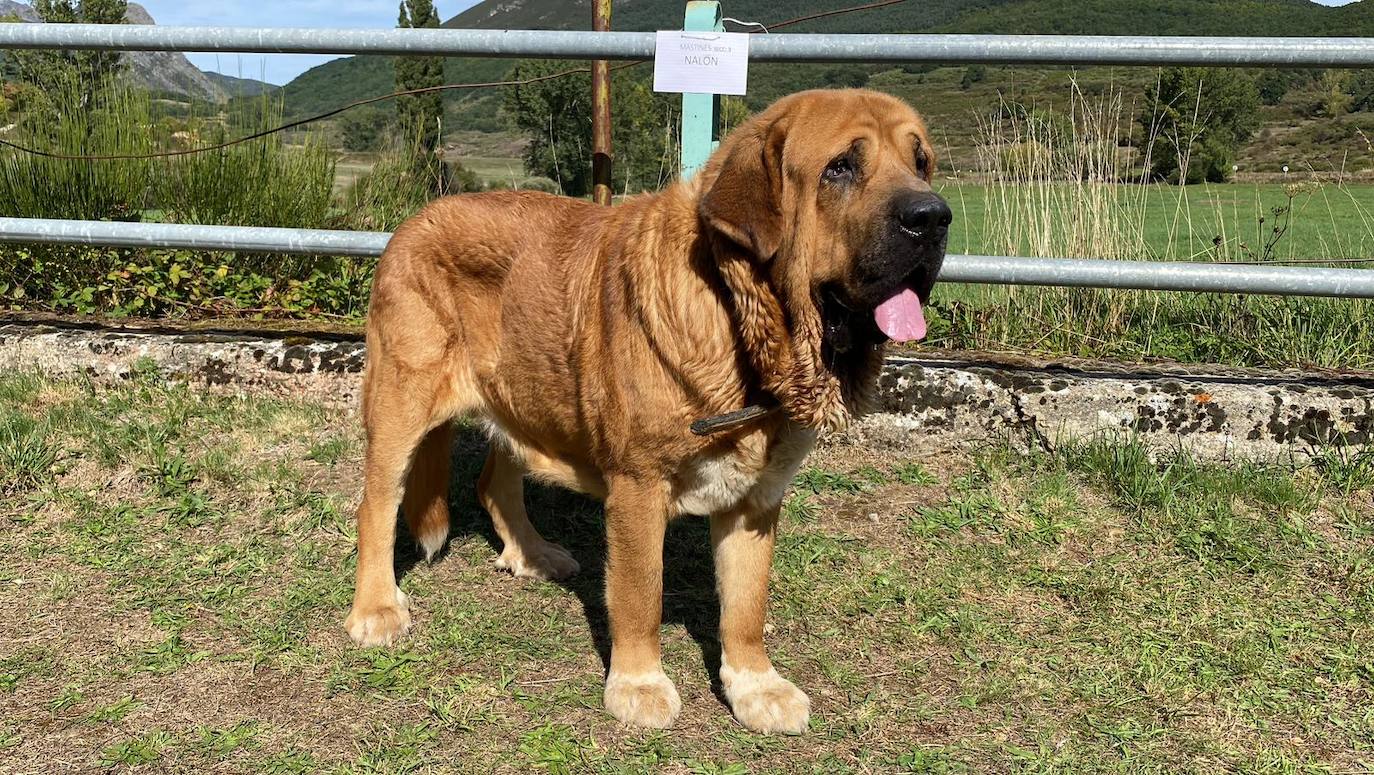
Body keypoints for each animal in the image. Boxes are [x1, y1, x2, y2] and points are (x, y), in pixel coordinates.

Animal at [346, 89, 945, 731]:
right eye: (840, 167)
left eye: (921, 162)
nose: (934, 217)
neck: (739, 322)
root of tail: (413, 220)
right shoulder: (637, 485)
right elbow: (641, 594)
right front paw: (638, 684)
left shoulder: (757, 500)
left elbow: (746, 607)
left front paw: (756, 686)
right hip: (401, 405)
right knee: (376, 505)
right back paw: (376, 608)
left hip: (527, 392)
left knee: (494, 482)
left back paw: (533, 555)